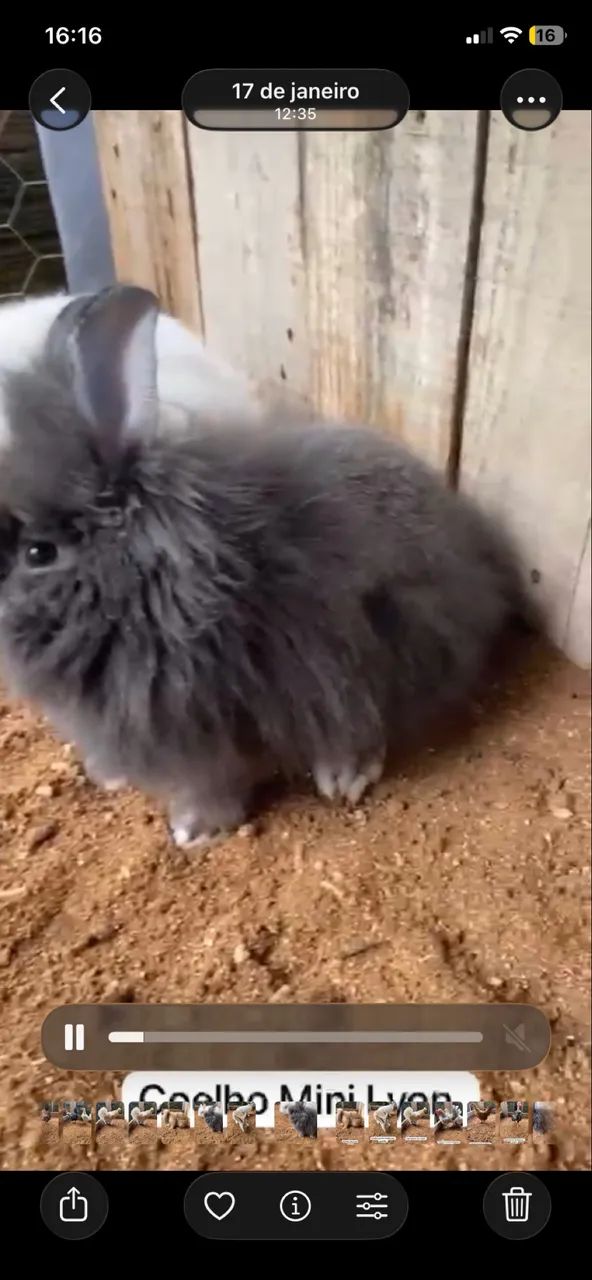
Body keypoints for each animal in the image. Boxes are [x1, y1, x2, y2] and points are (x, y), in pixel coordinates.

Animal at [0, 284, 528, 849]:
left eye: (38, 553)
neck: (140, 581)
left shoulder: (203, 730)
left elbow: (213, 784)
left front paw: (194, 833)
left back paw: (343, 779)